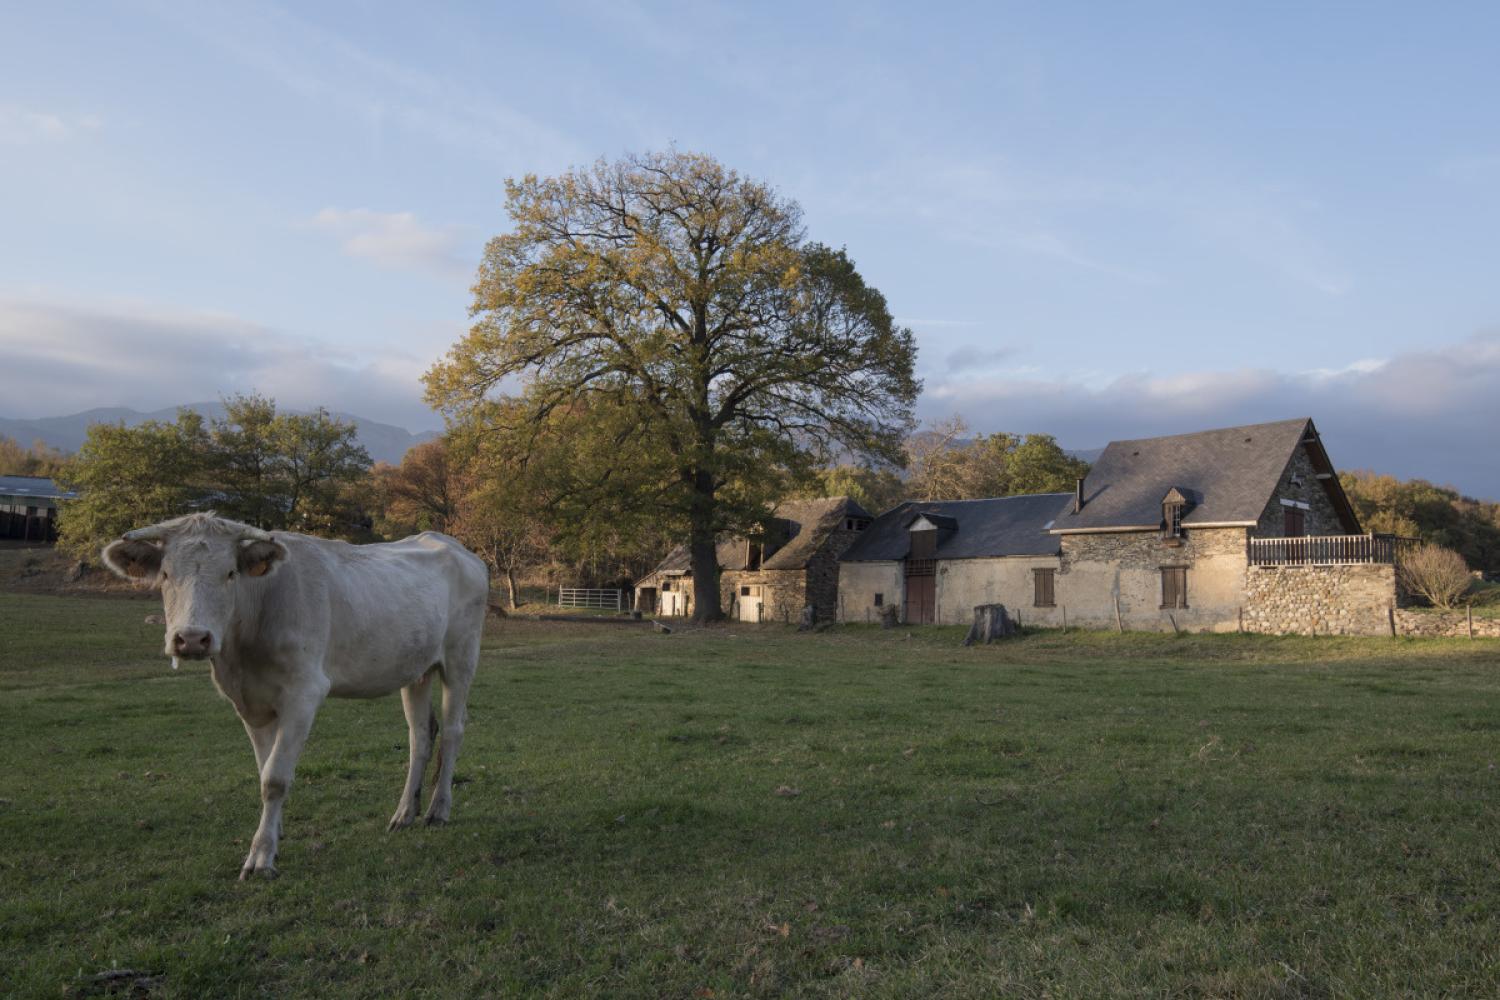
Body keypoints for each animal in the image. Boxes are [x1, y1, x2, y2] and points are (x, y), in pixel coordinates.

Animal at [102, 512, 489, 881]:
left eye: (230, 574)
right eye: (166, 574)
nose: (193, 639)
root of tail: (453, 545)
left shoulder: (304, 692)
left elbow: (275, 778)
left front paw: (260, 858)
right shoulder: (249, 702)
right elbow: (265, 768)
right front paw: (275, 834)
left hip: (461, 655)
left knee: (453, 730)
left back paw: (438, 810)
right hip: (416, 667)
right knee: (420, 735)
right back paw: (405, 813)